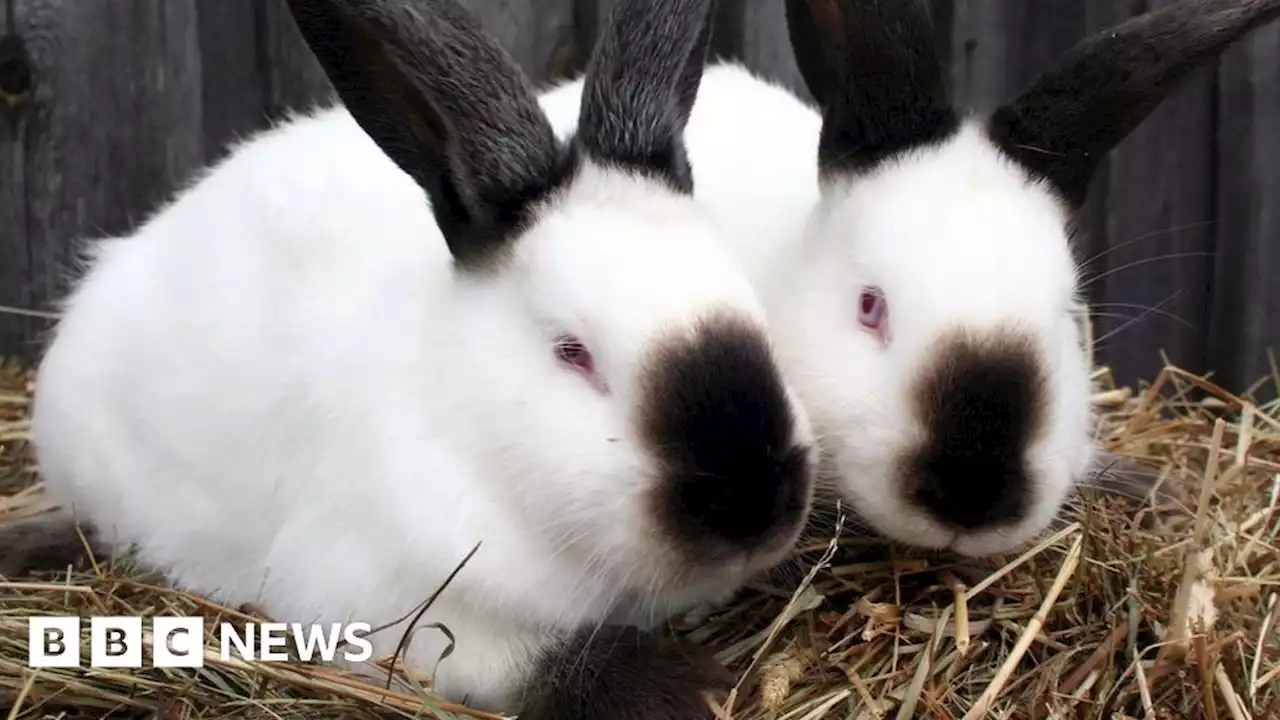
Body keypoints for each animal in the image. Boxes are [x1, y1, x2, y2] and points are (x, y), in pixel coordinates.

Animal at [24, 0, 814, 712]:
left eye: (750, 303)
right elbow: (530, 657)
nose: (755, 502)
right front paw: (687, 687)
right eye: (573, 352)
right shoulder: (393, 603)